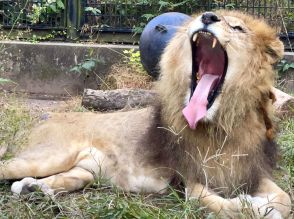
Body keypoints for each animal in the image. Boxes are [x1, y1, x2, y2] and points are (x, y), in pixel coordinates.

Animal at [0, 10, 292, 219]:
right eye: (205, 16)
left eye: (238, 27)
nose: (208, 17)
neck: (223, 125)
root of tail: (46, 118)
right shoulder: (188, 180)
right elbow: (222, 205)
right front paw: (253, 206)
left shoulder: (251, 173)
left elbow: (285, 199)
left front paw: (265, 204)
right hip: (46, 157)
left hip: (84, 172)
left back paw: (32, 190)